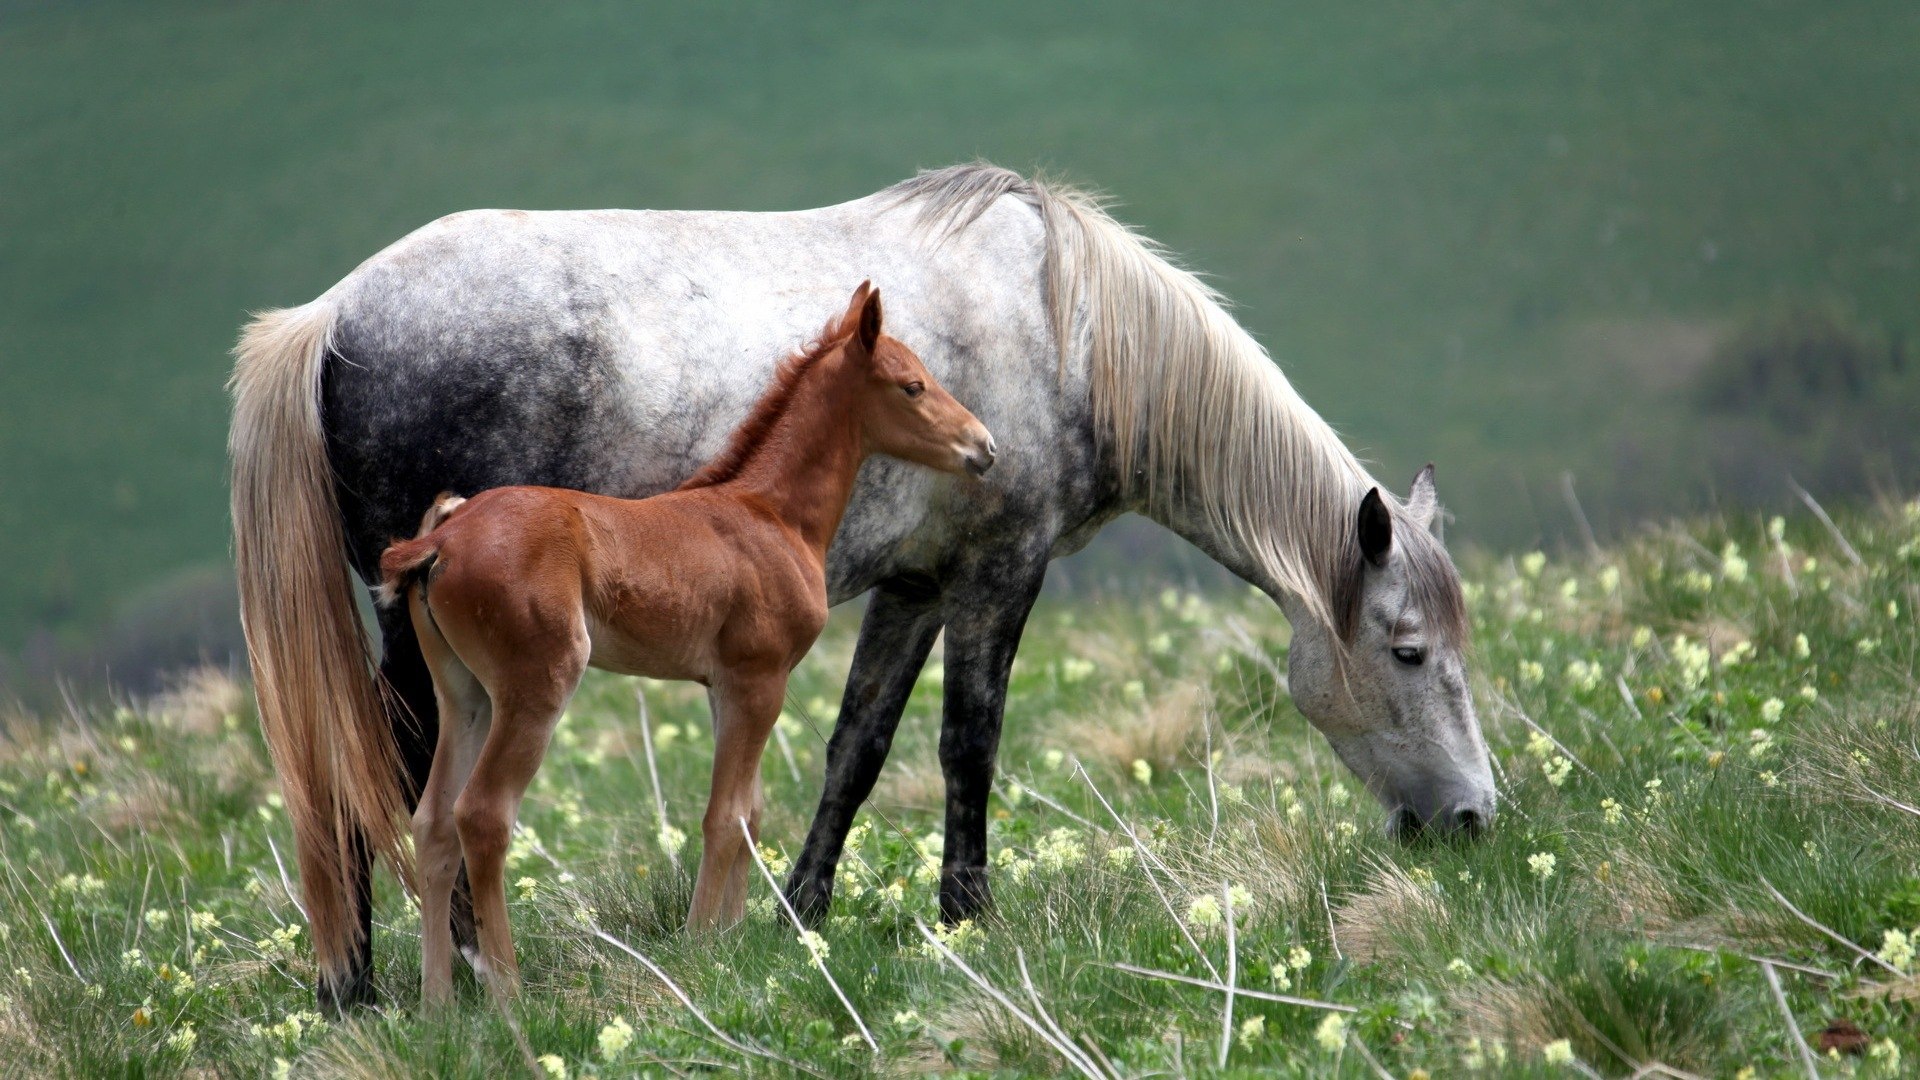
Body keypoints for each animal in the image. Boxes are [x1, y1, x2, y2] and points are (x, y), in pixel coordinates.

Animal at [372, 286, 990, 999]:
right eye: (913, 385)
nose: (984, 446)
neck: (769, 513)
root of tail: (442, 538)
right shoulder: (760, 678)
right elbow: (724, 815)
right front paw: (700, 949)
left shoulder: (726, 688)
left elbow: (749, 812)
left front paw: (734, 937)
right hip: (537, 687)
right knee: (482, 815)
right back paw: (509, 994)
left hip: (463, 694)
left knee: (433, 821)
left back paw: (438, 1003)